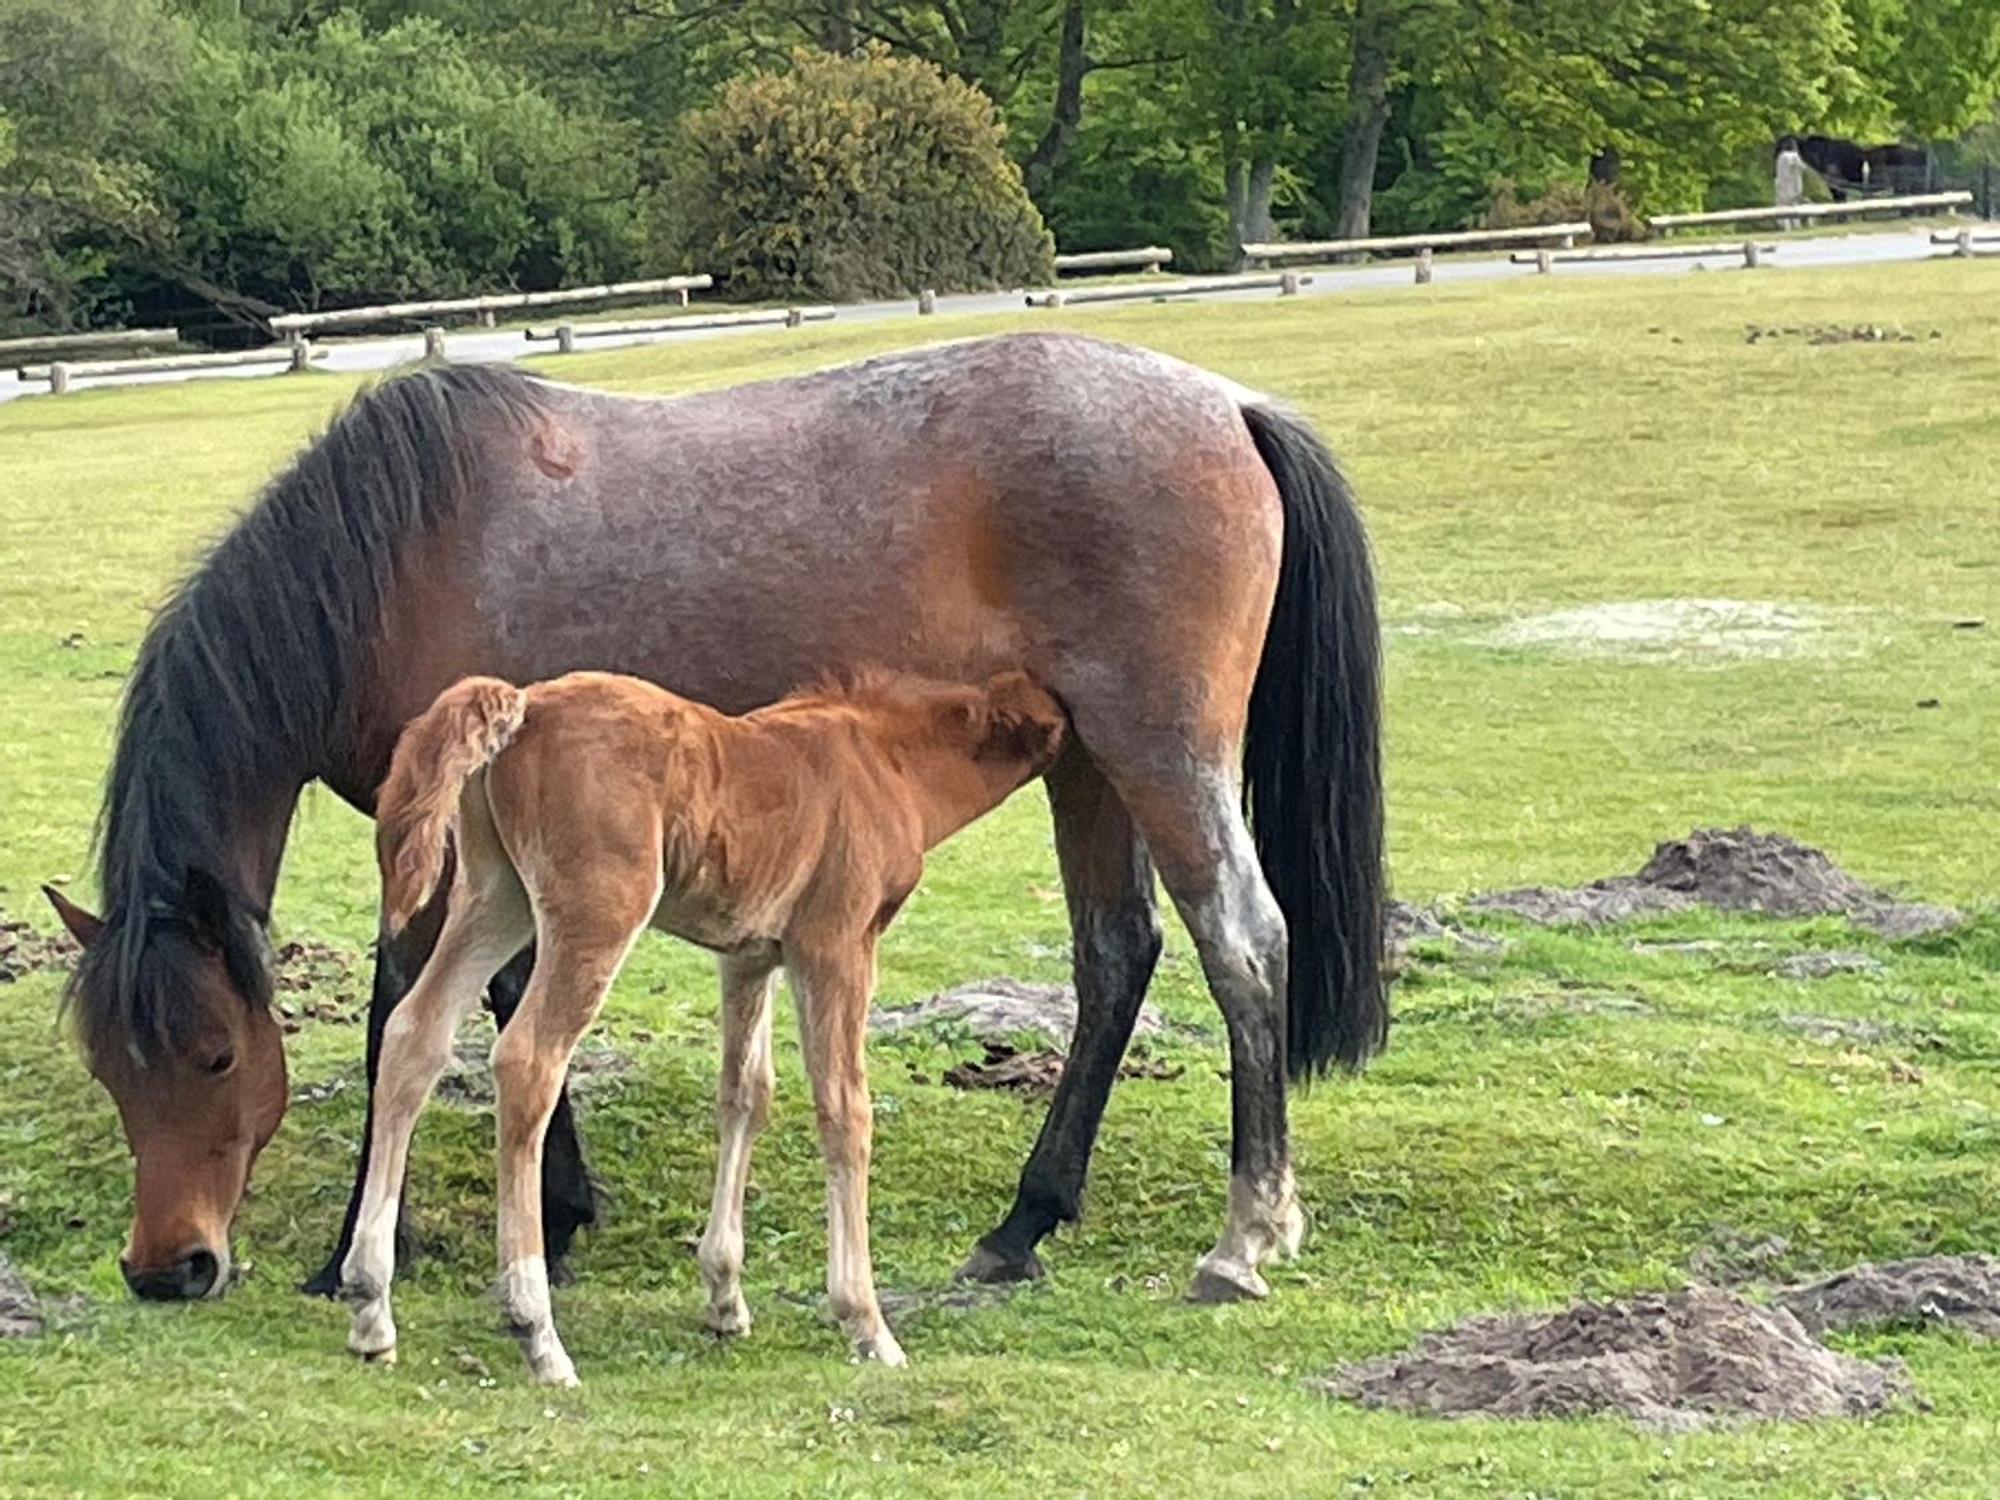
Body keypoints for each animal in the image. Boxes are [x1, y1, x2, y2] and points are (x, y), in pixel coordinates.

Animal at [50, 334, 1392, 1312]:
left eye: (216, 1057)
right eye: (109, 1066)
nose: (167, 1268)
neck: (393, 566)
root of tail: (1226, 405)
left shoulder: (444, 838)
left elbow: (402, 1019)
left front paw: (352, 1256)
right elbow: (505, 999)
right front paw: (561, 1206)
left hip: (1158, 754)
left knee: (1240, 943)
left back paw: (1240, 1238)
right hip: (1088, 770)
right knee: (1116, 955)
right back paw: (1021, 1225)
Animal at [340, 668, 1080, 1384]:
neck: (887, 762)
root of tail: (526, 706)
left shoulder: (749, 956)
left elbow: (747, 1094)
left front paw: (726, 1298)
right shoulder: (834, 945)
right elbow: (845, 1109)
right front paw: (867, 1324)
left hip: (496, 896)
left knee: (414, 1036)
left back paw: (372, 1310)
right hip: (597, 912)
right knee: (528, 1060)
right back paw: (539, 1335)